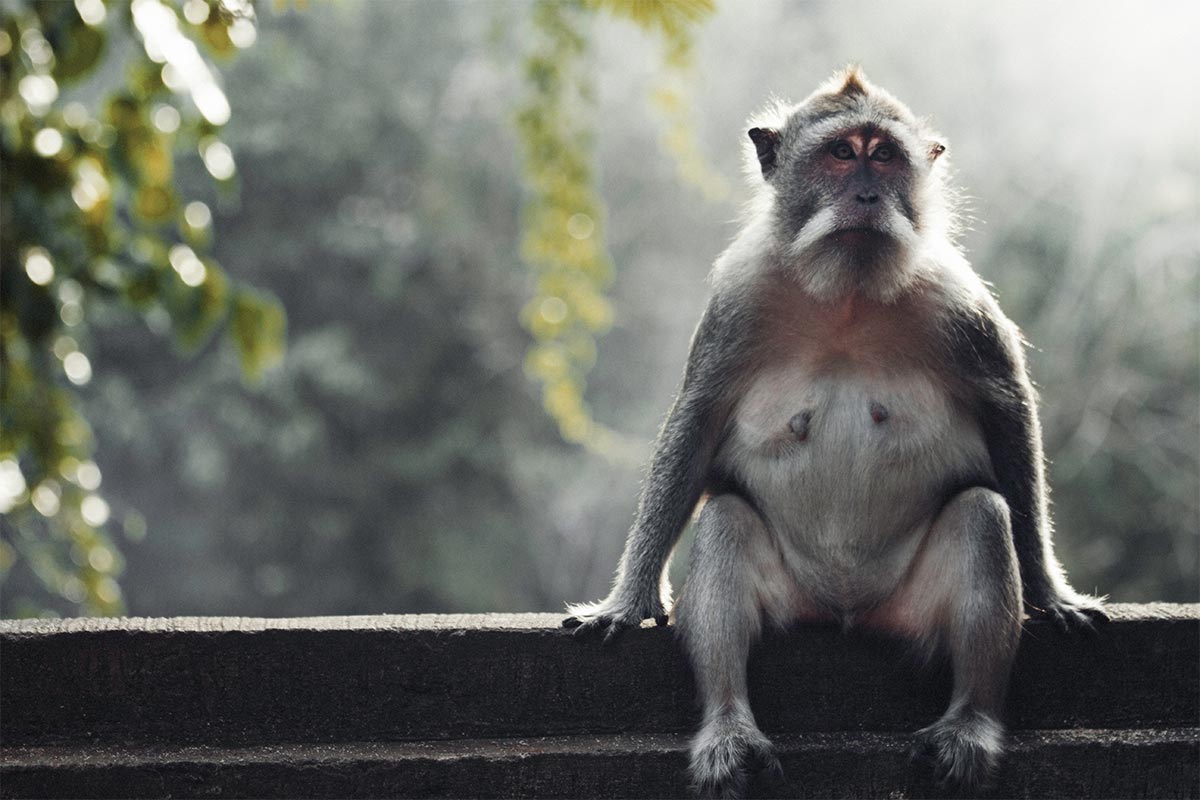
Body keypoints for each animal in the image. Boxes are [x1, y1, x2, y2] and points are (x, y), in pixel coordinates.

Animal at [563, 66, 1107, 798]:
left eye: (886, 156)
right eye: (842, 154)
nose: (869, 194)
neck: (848, 291)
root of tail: (850, 613)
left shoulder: (958, 302)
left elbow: (1008, 413)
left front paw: (1051, 592)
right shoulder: (738, 299)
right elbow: (694, 424)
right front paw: (626, 602)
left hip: (906, 605)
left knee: (980, 514)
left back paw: (969, 724)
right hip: (796, 599)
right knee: (725, 520)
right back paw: (729, 728)